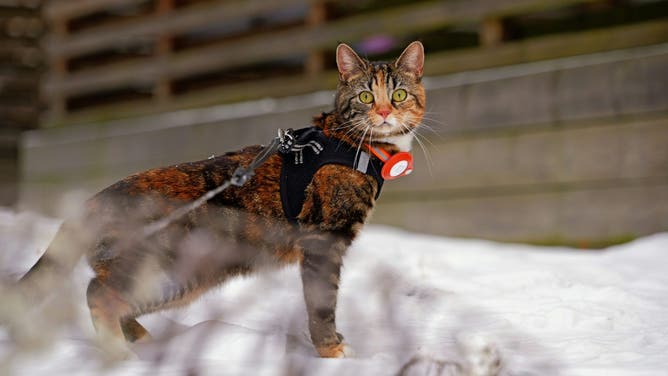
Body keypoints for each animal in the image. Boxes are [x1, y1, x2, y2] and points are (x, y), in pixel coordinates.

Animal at [22, 40, 428, 358]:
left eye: (399, 94)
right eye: (365, 96)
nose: (384, 112)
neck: (356, 145)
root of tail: (92, 203)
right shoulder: (323, 242)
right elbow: (322, 303)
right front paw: (330, 349)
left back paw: (142, 342)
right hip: (164, 269)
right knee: (98, 294)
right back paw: (118, 355)